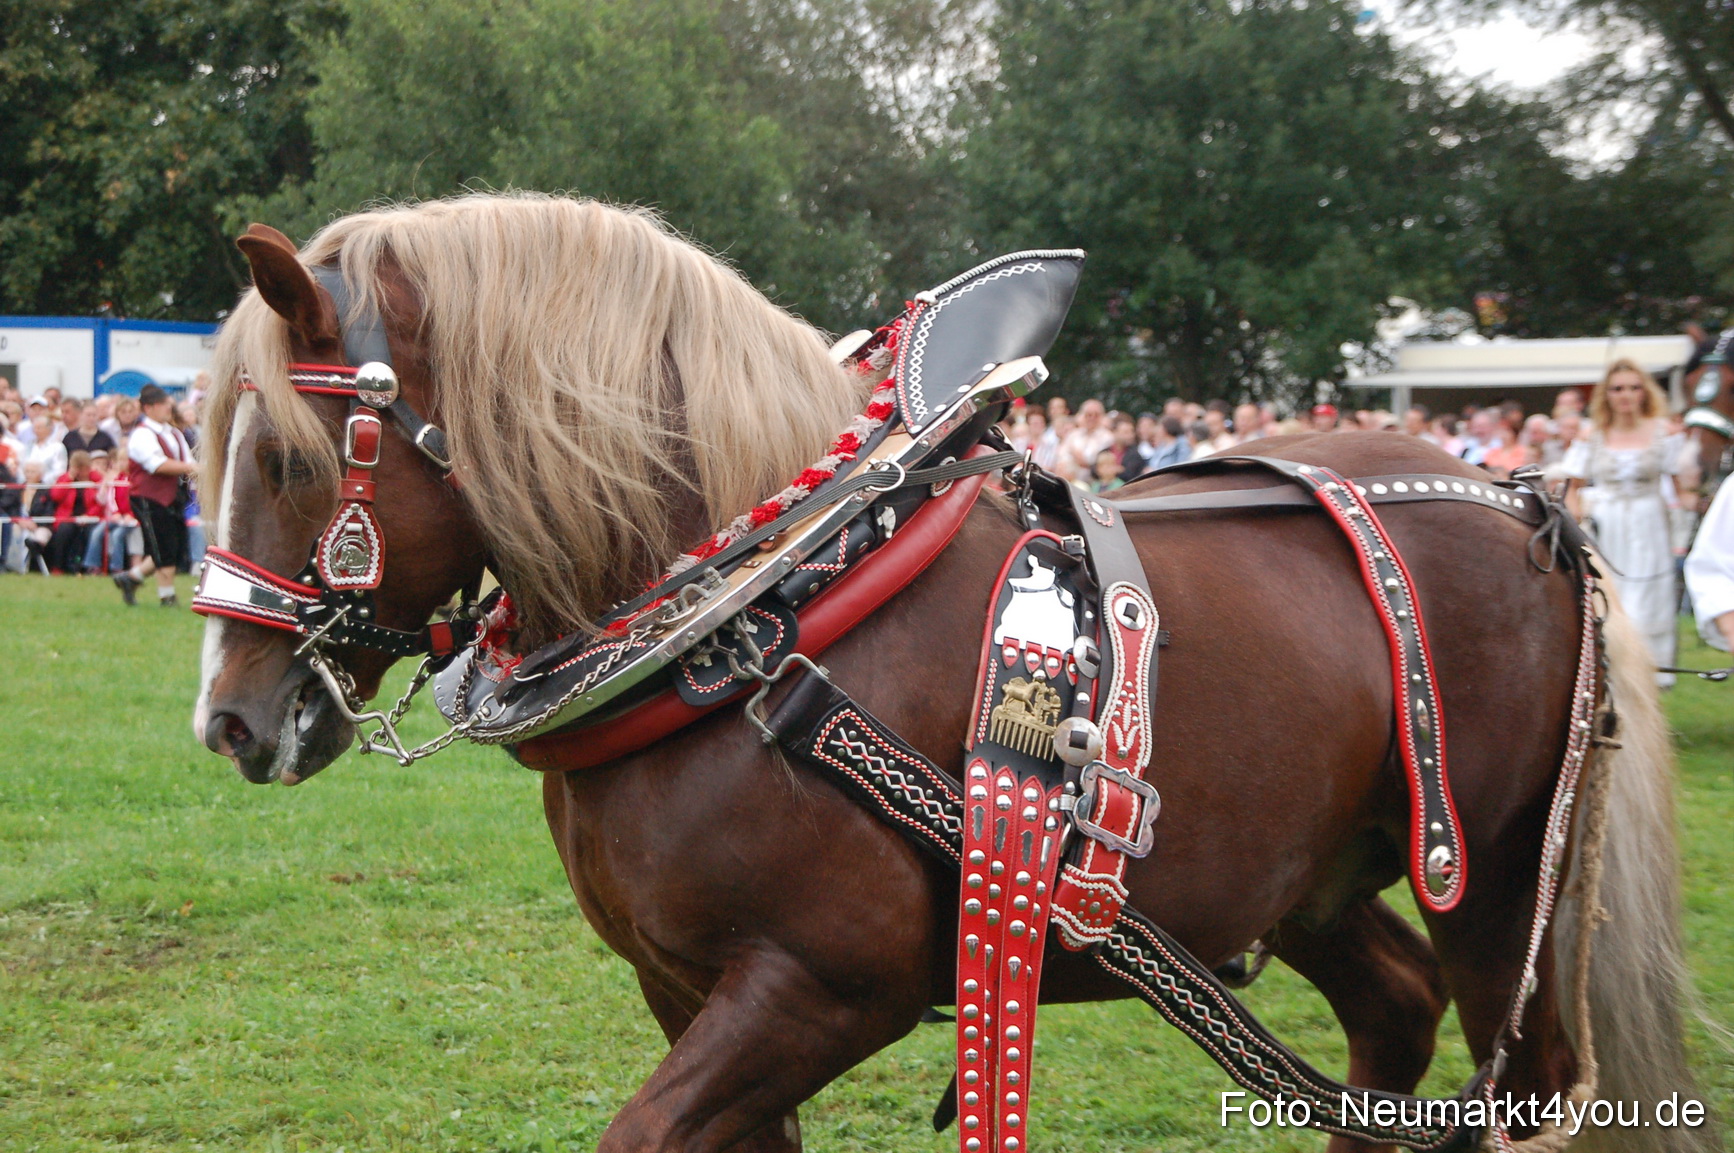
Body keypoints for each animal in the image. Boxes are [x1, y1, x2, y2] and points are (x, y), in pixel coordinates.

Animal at [194, 193, 1714, 1153]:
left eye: (288, 456)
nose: (229, 718)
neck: (766, 615)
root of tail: (1529, 508)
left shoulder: (817, 987)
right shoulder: (686, 989)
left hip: (1499, 875)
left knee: (1524, 1085)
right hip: (1294, 872)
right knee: (1391, 1020)